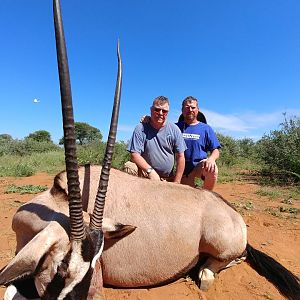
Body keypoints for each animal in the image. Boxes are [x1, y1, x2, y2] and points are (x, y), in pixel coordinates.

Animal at [0, 0, 300, 300]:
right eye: (61, 268)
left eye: (91, 267)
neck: (56, 199)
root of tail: (229, 209)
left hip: (223, 246)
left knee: (229, 260)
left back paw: (203, 273)